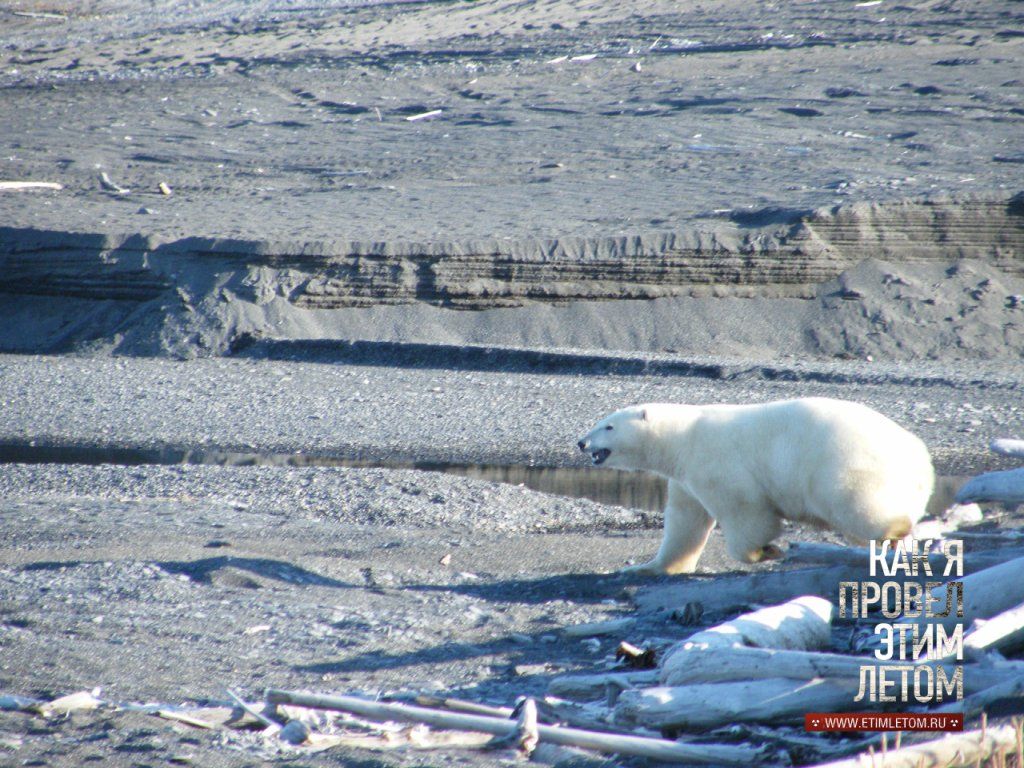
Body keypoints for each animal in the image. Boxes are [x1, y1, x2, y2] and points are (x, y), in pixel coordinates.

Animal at [581, 399, 933, 573]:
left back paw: (893, 529)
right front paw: (648, 567)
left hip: (841, 462)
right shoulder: (686, 479)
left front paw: (764, 550)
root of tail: (921, 459)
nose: (581, 442)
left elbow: (745, 510)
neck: (683, 436)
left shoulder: (716, 460)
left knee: (854, 500)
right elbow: (685, 522)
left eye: (608, 426)